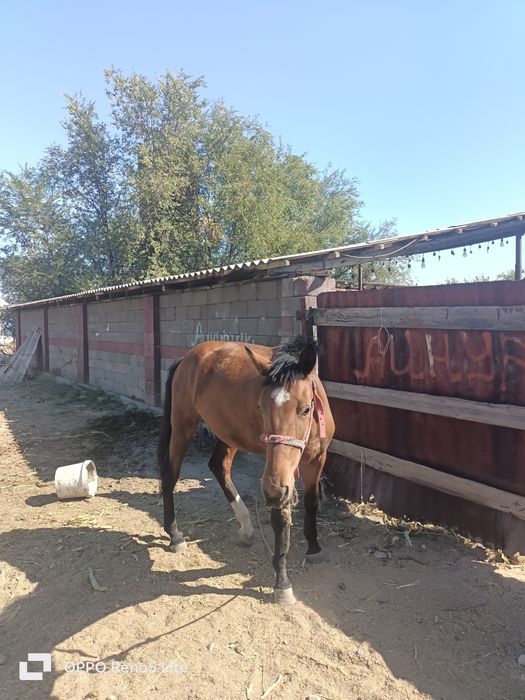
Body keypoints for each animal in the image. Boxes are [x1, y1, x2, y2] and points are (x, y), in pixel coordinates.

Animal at [157, 335, 335, 605]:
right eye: (261, 408)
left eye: (305, 409)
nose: (274, 491)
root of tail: (187, 357)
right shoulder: (276, 478)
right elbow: (280, 520)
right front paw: (282, 583)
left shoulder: (315, 460)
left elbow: (312, 502)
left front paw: (314, 547)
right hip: (182, 426)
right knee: (170, 473)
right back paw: (175, 535)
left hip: (228, 433)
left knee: (218, 466)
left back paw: (246, 527)